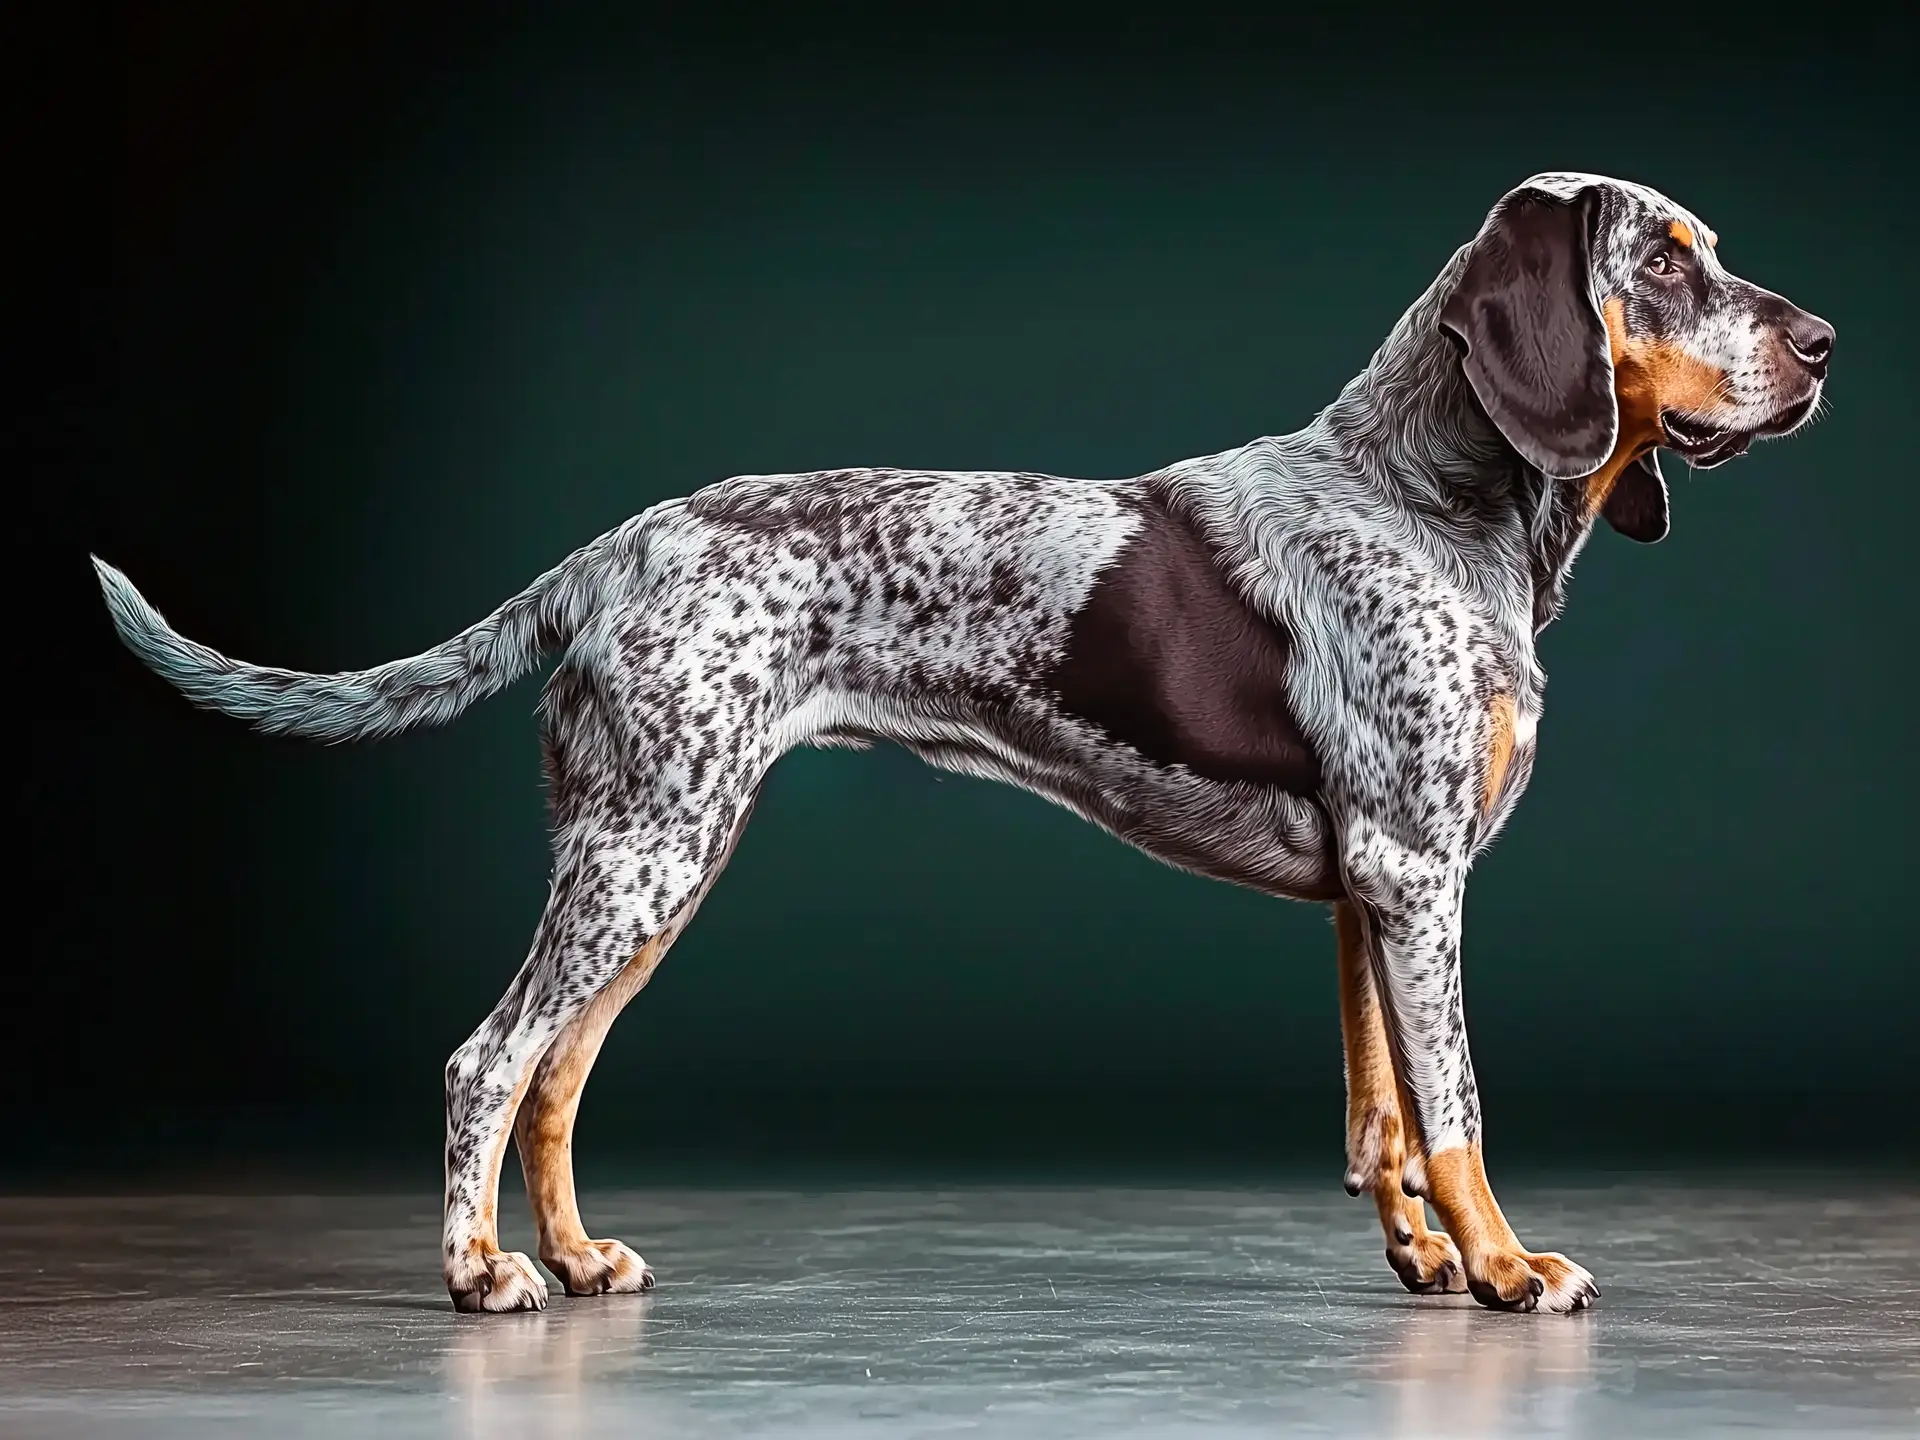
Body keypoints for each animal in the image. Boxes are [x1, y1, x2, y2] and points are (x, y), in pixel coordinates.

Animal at [101, 171, 1827, 1320]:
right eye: (1666, 261)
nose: (1821, 340)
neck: (1427, 497)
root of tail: (601, 555)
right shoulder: (1415, 876)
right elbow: (1455, 1108)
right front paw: (1505, 1268)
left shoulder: (1369, 890)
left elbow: (1384, 1118)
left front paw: (1425, 1260)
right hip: (644, 858)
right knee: (488, 1058)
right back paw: (478, 1272)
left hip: (658, 856)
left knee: (556, 1070)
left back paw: (576, 1255)